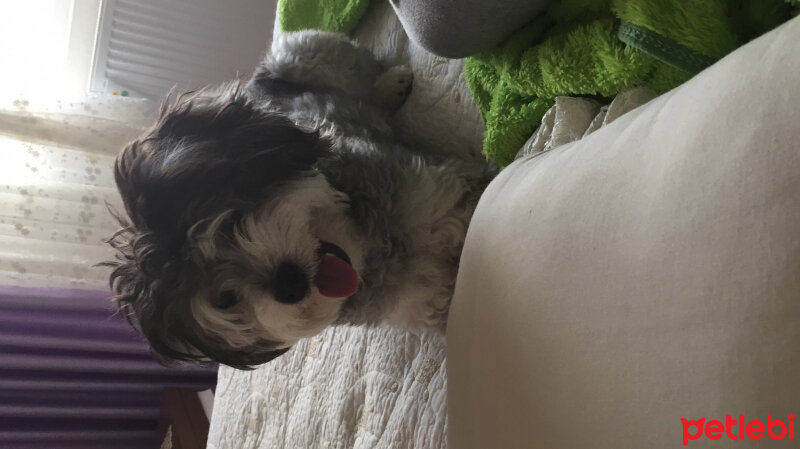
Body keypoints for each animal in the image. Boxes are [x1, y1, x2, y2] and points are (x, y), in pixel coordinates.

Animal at [106, 30, 494, 368]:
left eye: (230, 223)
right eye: (226, 300)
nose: (288, 284)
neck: (370, 248)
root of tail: (255, 83)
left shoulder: (445, 194)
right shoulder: (427, 299)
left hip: (304, 53)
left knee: (363, 76)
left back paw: (393, 84)